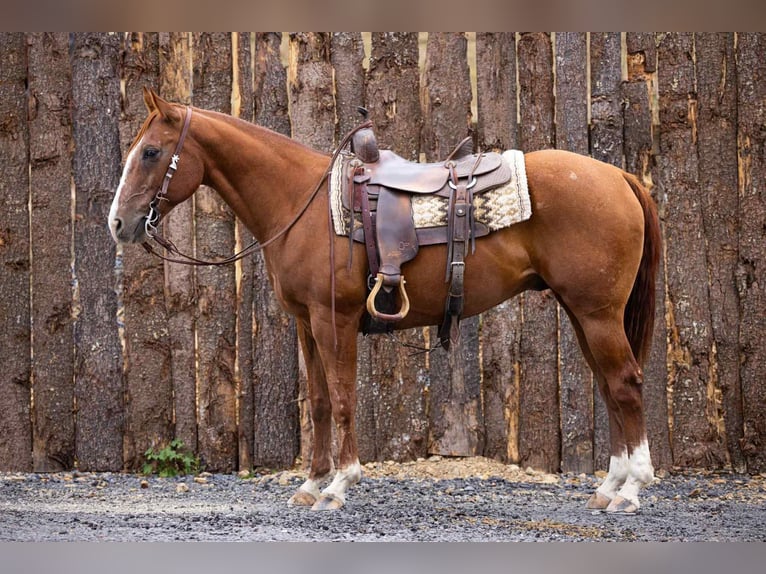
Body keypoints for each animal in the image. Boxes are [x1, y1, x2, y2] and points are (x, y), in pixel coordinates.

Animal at [109, 87, 661, 514]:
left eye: (151, 152)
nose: (118, 223)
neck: (301, 201)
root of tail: (621, 177)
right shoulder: (306, 324)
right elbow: (320, 403)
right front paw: (310, 484)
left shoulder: (334, 320)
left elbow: (344, 398)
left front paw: (338, 485)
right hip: (583, 313)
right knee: (609, 387)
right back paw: (607, 487)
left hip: (597, 314)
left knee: (626, 384)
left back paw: (632, 489)